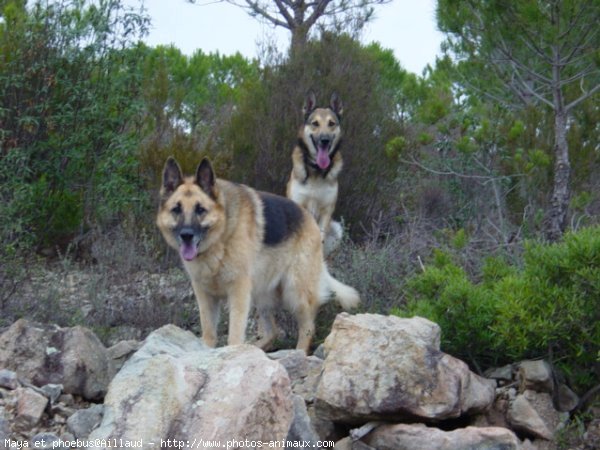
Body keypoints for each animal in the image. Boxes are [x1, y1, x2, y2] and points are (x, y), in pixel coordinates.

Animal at [157, 156, 358, 354]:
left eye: (200, 210)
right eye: (176, 209)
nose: (186, 235)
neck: (221, 235)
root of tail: (312, 221)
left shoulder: (238, 292)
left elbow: (234, 333)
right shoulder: (205, 295)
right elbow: (209, 333)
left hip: (295, 292)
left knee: (308, 327)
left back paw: (298, 352)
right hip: (260, 294)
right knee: (272, 332)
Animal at [288, 90, 344, 256]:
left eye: (331, 123)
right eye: (315, 123)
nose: (324, 140)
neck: (316, 172)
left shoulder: (326, 212)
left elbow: (320, 239)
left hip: (337, 228)